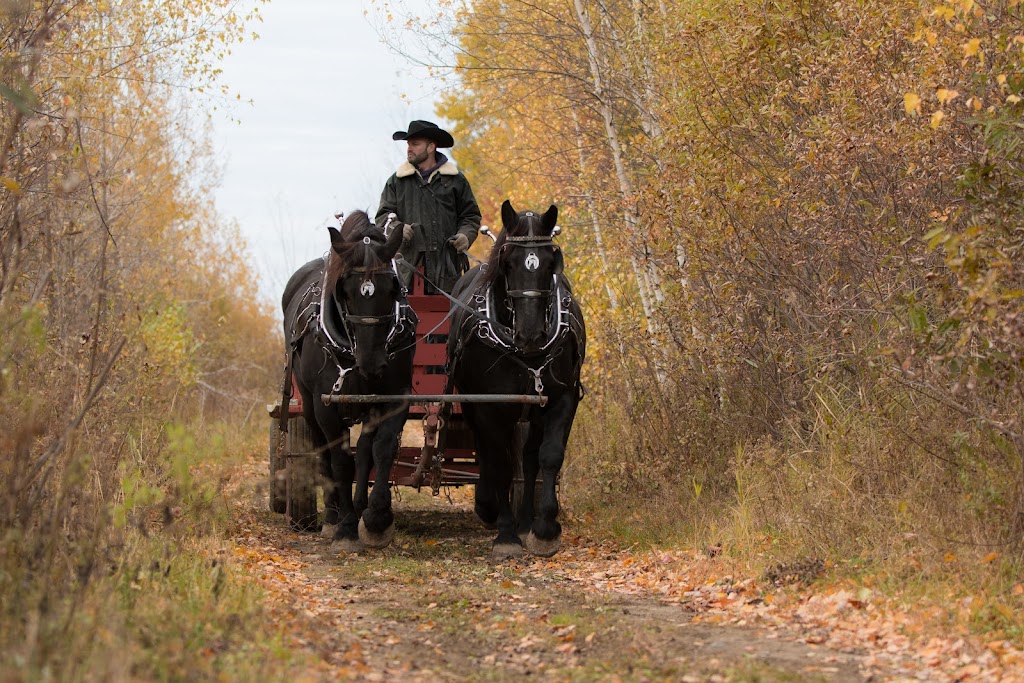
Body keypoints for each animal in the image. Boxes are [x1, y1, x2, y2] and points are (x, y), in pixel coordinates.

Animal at [280, 210, 415, 552]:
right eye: (345, 290)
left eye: (393, 288)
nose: (372, 362)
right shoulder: (326, 405)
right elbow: (340, 460)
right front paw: (345, 527)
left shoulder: (395, 396)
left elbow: (380, 449)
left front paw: (377, 518)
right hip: (308, 405)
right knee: (323, 452)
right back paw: (332, 516)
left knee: (364, 452)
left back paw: (358, 505)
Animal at [446, 198, 585, 561]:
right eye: (507, 263)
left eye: (551, 261)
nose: (531, 334)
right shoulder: (490, 406)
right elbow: (500, 464)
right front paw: (506, 534)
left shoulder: (561, 397)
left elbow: (549, 455)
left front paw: (545, 528)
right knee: (492, 453)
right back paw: (490, 508)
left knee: (530, 458)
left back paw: (525, 521)